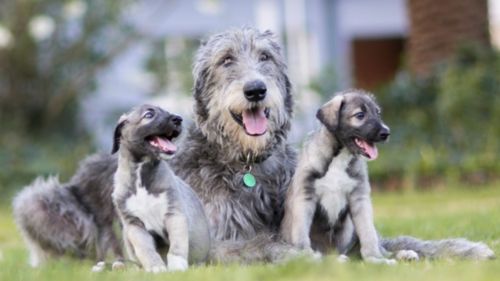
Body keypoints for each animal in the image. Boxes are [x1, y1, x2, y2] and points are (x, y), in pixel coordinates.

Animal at [110, 105, 210, 272]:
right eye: (149, 115)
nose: (178, 119)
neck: (141, 177)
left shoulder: (175, 215)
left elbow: (177, 246)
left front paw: (177, 267)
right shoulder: (135, 226)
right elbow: (145, 250)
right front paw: (155, 267)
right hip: (126, 233)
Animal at [172, 27, 296, 262]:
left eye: (265, 56)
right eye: (226, 60)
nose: (256, 90)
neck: (248, 164)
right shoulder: (209, 243)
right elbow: (255, 245)